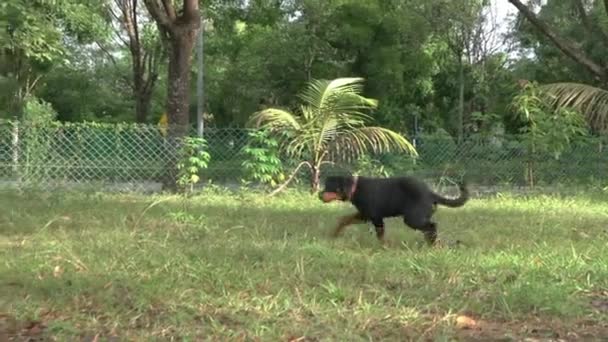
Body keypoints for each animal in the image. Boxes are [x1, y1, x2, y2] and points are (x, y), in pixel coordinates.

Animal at [318, 175, 470, 244]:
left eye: (329, 187)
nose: (319, 194)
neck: (355, 188)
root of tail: (430, 193)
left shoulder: (375, 217)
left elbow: (380, 234)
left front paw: (383, 246)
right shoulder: (364, 215)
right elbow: (344, 220)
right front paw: (334, 234)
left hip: (412, 218)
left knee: (432, 226)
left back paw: (434, 245)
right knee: (429, 228)